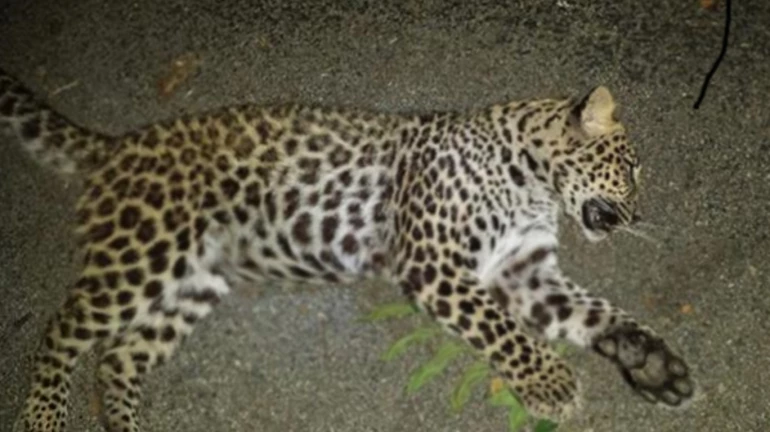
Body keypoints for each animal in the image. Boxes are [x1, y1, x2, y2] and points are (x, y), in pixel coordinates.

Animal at [0, 66, 695, 432]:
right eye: (630, 169)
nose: (638, 215)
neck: (535, 184)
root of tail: (116, 146)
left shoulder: (525, 269)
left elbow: (597, 315)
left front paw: (654, 365)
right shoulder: (434, 262)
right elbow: (501, 330)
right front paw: (551, 383)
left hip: (193, 280)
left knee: (119, 358)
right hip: (144, 255)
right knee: (62, 331)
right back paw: (44, 416)